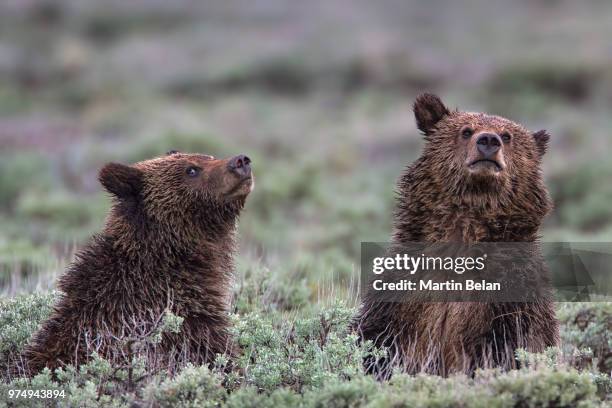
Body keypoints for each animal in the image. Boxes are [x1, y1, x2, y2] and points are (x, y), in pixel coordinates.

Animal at [354, 94, 560, 378]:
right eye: (466, 131)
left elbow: (514, 346)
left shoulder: (511, 302)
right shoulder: (402, 295)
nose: (489, 141)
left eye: (507, 136)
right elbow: (378, 341)